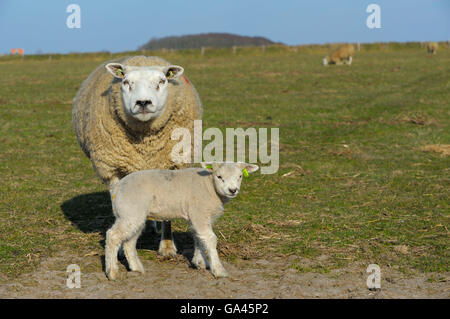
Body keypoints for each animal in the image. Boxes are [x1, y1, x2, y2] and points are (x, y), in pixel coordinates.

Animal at [72, 55, 202, 258]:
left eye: (162, 81)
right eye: (126, 82)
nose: (143, 103)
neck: (145, 142)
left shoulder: (171, 167)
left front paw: (167, 247)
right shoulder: (113, 171)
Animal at [105, 162, 258, 280]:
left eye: (240, 176)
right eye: (219, 176)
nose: (232, 190)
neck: (209, 185)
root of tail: (117, 187)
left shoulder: (197, 217)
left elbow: (199, 238)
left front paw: (200, 262)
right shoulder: (199, 213)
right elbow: (210, 239)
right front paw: (219, 270)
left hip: (133, 215)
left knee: (129, 243)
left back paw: (136, 268)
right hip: (130, 212)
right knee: (113, 236)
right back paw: (112, 272)